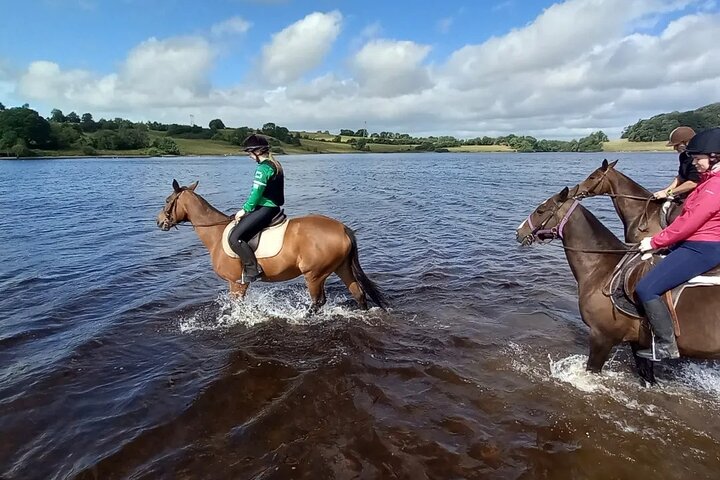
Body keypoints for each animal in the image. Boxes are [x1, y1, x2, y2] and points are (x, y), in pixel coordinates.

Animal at [156, 180, 388, 313]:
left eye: (167, 200)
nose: (159, 221)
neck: (216, 234)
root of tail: (342, 228)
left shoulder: (236, 283)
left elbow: (236, 309)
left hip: (315, 274)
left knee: (318, 302)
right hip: (341, 267)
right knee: (358, 293)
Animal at [516, 186, 720, 384]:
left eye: (541, 210)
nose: (519, 231)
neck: (603, 268)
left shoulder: (602, 337)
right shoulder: (639, 343)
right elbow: (647, 377)